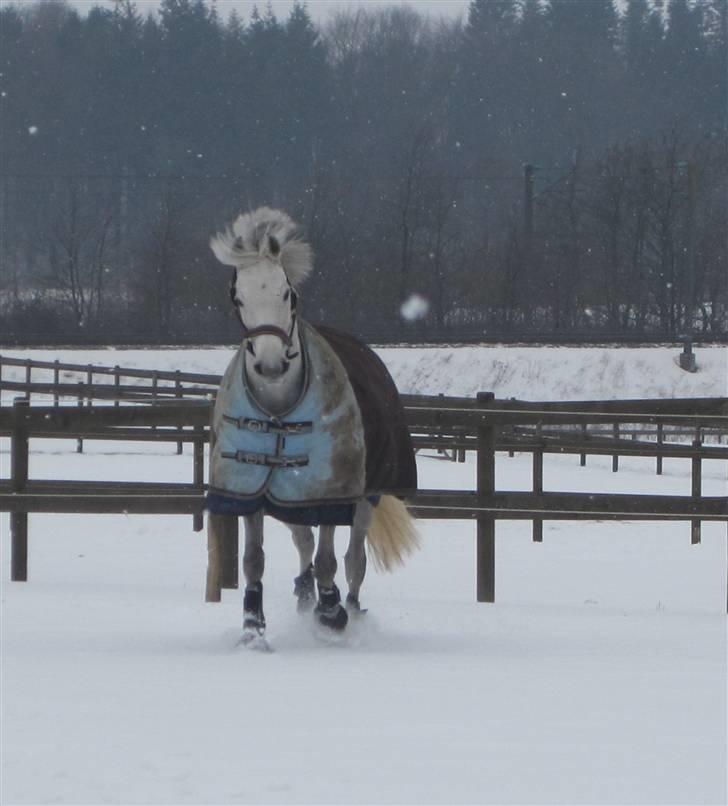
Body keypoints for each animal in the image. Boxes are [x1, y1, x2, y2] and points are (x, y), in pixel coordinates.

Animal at [206, 207, 419, 646]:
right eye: (238, 296)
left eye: (287, 293)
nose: (271, 365)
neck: (277, 409)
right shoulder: (252, 492)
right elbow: (254, 560)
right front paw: (253, 627)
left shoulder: (330, 494)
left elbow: (329, 561)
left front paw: (332, 613)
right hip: (288, 500)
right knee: (304, 541)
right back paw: (305, 594)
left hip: (364, 499)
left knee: (353, 560)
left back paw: (346, 607)